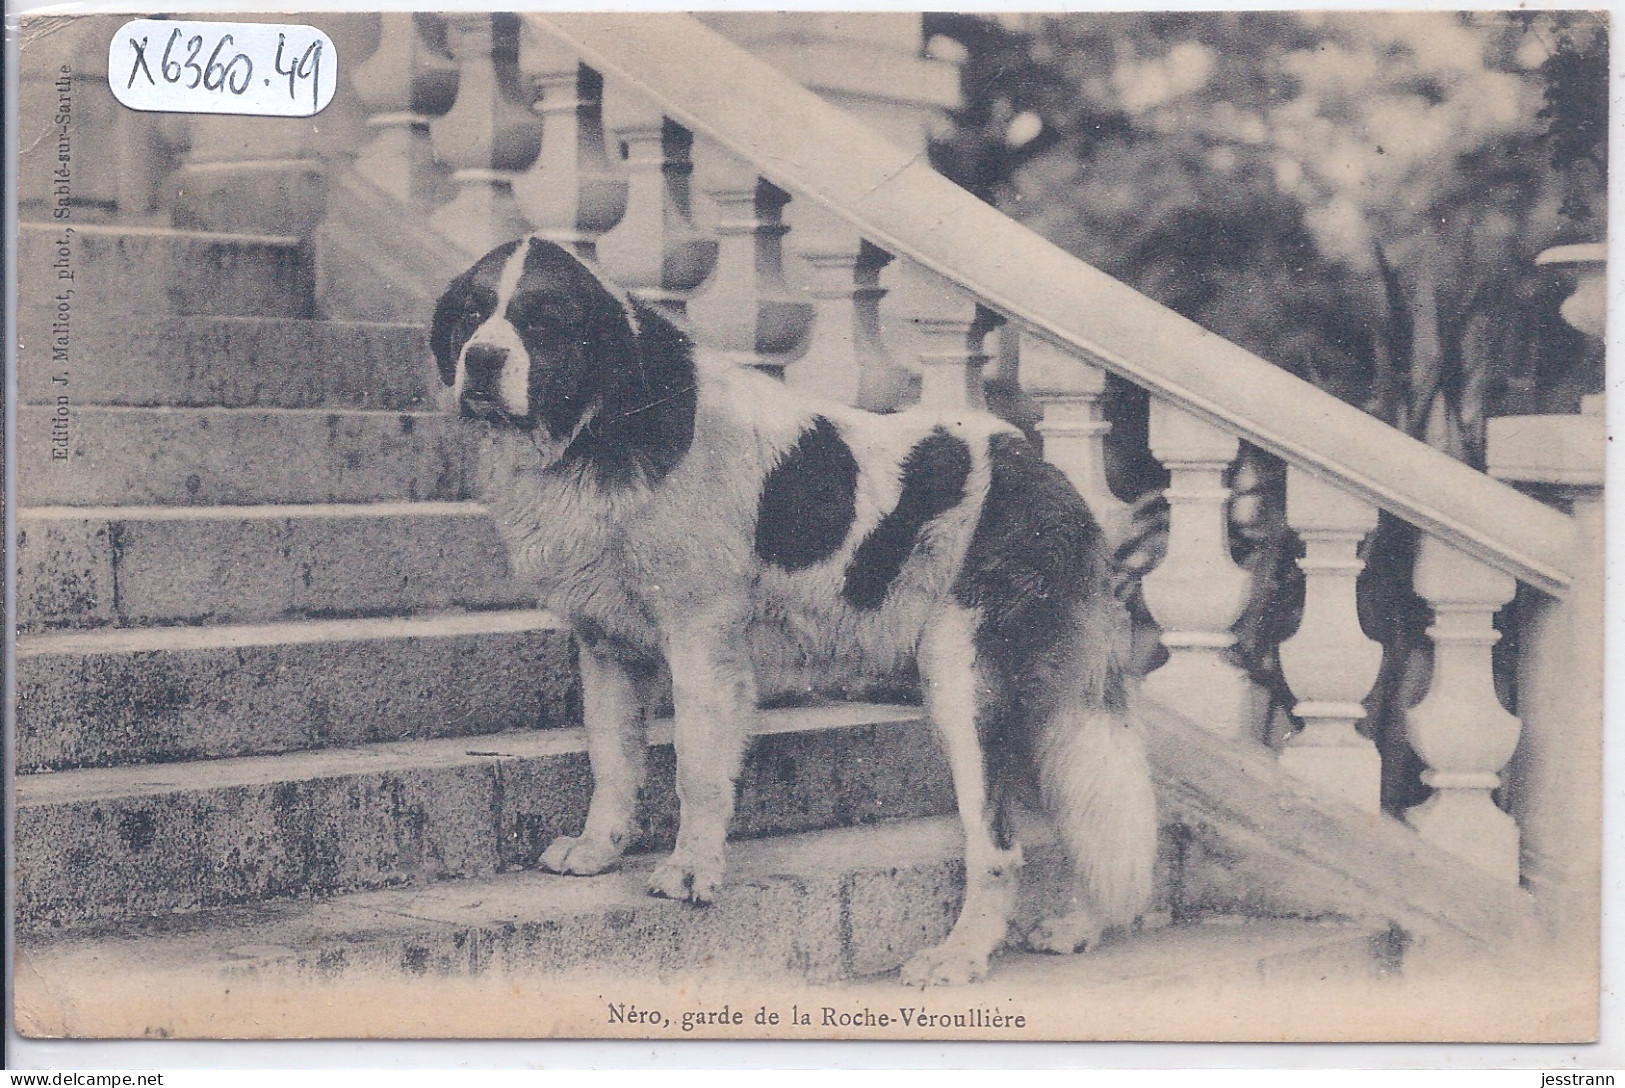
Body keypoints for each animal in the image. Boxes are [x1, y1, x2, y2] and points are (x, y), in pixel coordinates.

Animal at [432, 238, 1163, 987]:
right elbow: (612, 758)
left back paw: (960, 955)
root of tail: (1048, 476)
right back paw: (1078, 928)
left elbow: (697, 770)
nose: (481, 360)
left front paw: (690, 873)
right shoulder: (608, 648)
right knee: (1082, 808)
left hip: (965, 685)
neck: (603, 422)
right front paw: (597, 849)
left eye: (541, 320)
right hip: (1042, 703)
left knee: (999, 844)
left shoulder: (702, 646)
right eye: (471, 315)